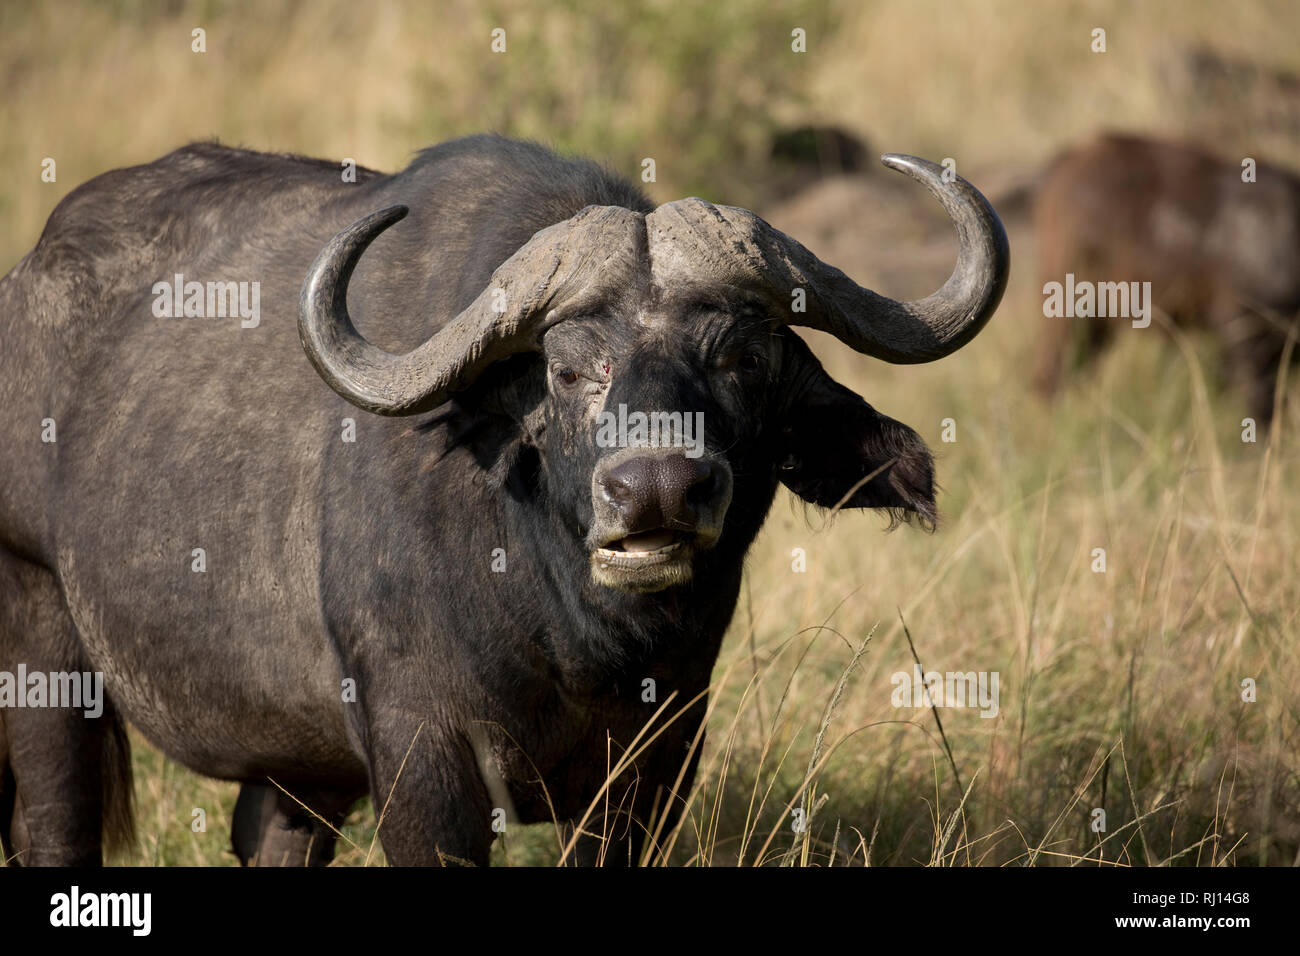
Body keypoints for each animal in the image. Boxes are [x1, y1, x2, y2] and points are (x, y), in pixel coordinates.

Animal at [0, 136, 1003, 868]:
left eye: (743, 358)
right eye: (566, 369)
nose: (658, 490)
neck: (569, 632)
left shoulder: (653, 767)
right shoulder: (426, 769)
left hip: (296, 769)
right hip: (42, 645)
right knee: (57, 824)